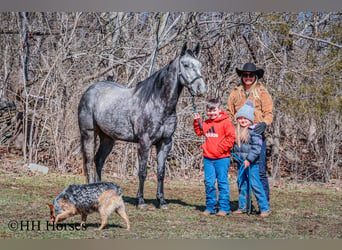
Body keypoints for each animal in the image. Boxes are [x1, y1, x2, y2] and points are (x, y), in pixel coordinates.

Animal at [78, 43, 206, 209]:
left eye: (200, 65)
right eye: (185, 65)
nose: (201, 89)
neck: (158, 103)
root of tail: (90, 90)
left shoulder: (165, 143)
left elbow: (161, 172)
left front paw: (162, 201)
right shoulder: (145, 142)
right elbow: (143, 172)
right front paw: (141, 201)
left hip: (108, 138)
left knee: (98, 160)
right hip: (89, 134)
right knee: (88, 162)